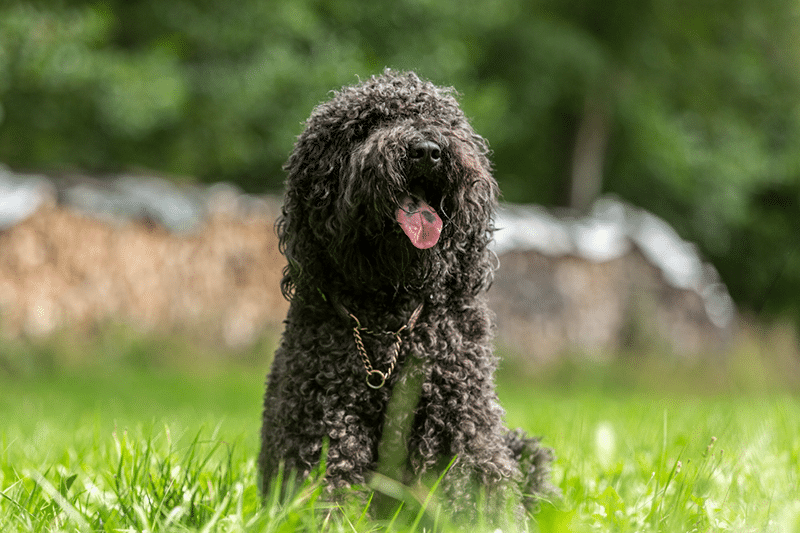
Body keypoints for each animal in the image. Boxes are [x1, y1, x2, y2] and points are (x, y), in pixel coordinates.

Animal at [260, 68, 552, 520]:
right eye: (366, 126)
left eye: (441, 120)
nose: (428, 151)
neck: (389, 315)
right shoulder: (324, 425)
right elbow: (329, 491)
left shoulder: (460, 420)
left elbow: (484, 491)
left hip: (525, 450)